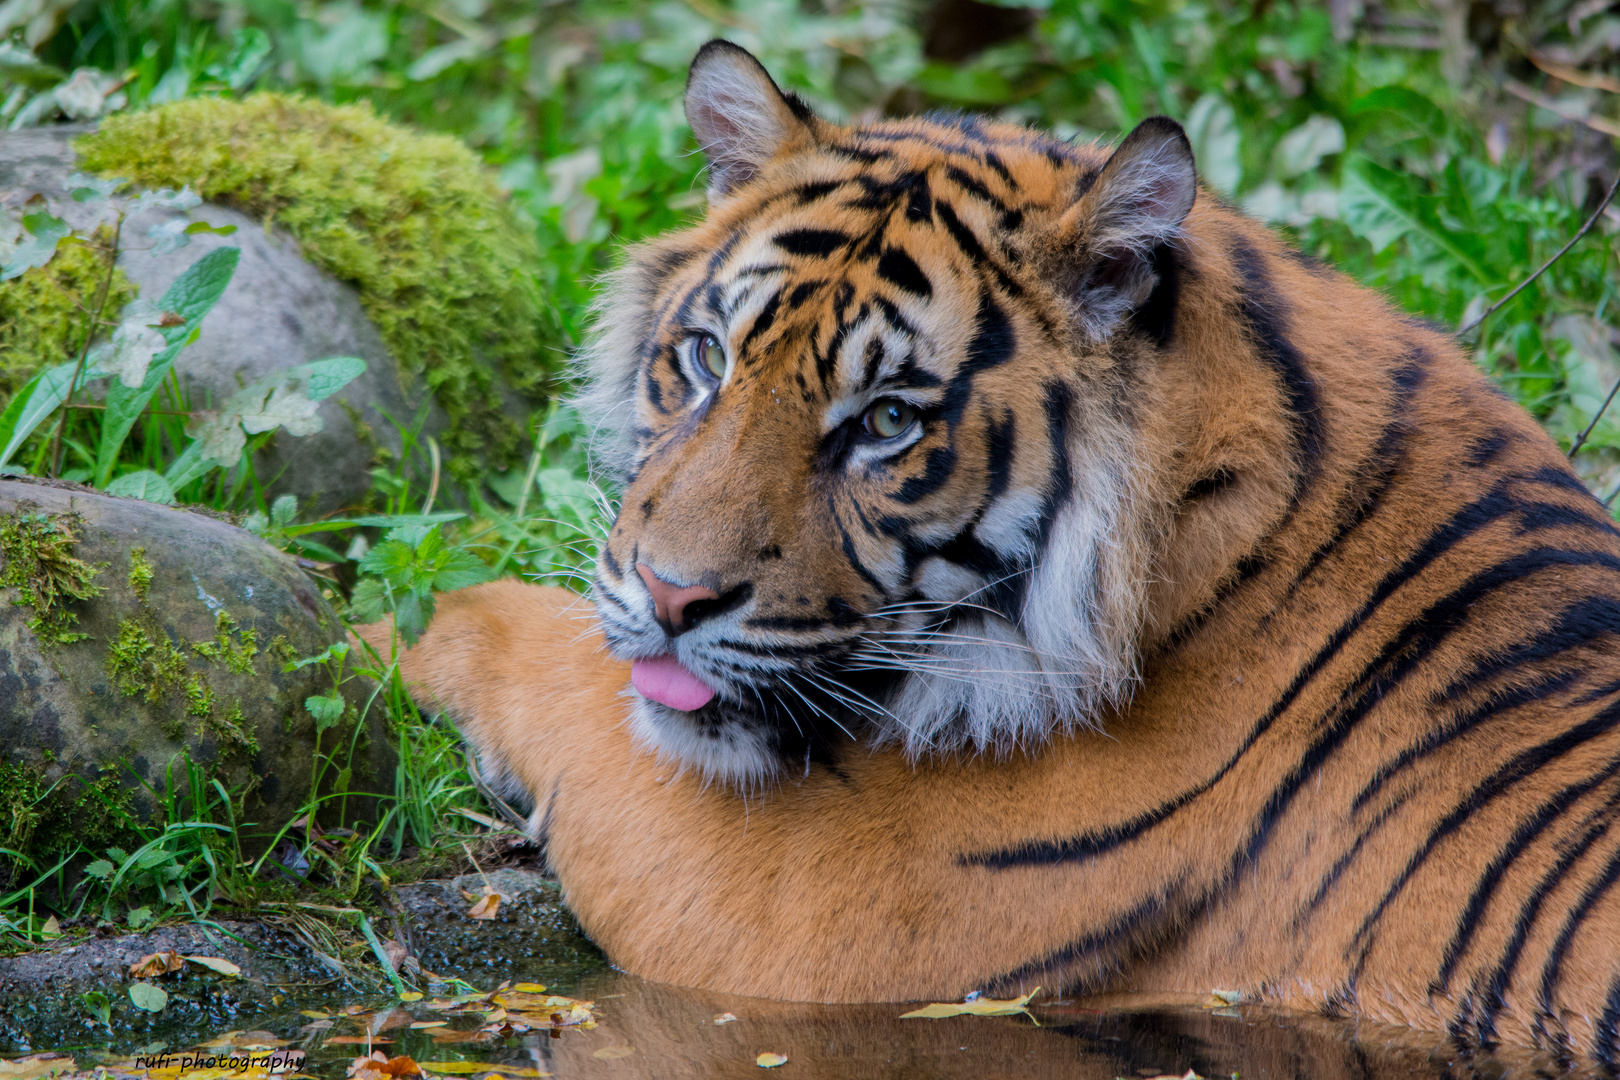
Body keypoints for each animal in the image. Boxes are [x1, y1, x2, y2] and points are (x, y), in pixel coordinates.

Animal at [364, 38, 1620, 1068]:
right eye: (711, 357)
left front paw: (377, 631)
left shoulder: (806, 908)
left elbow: (541, 654)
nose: (672, 599)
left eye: (886, 422)